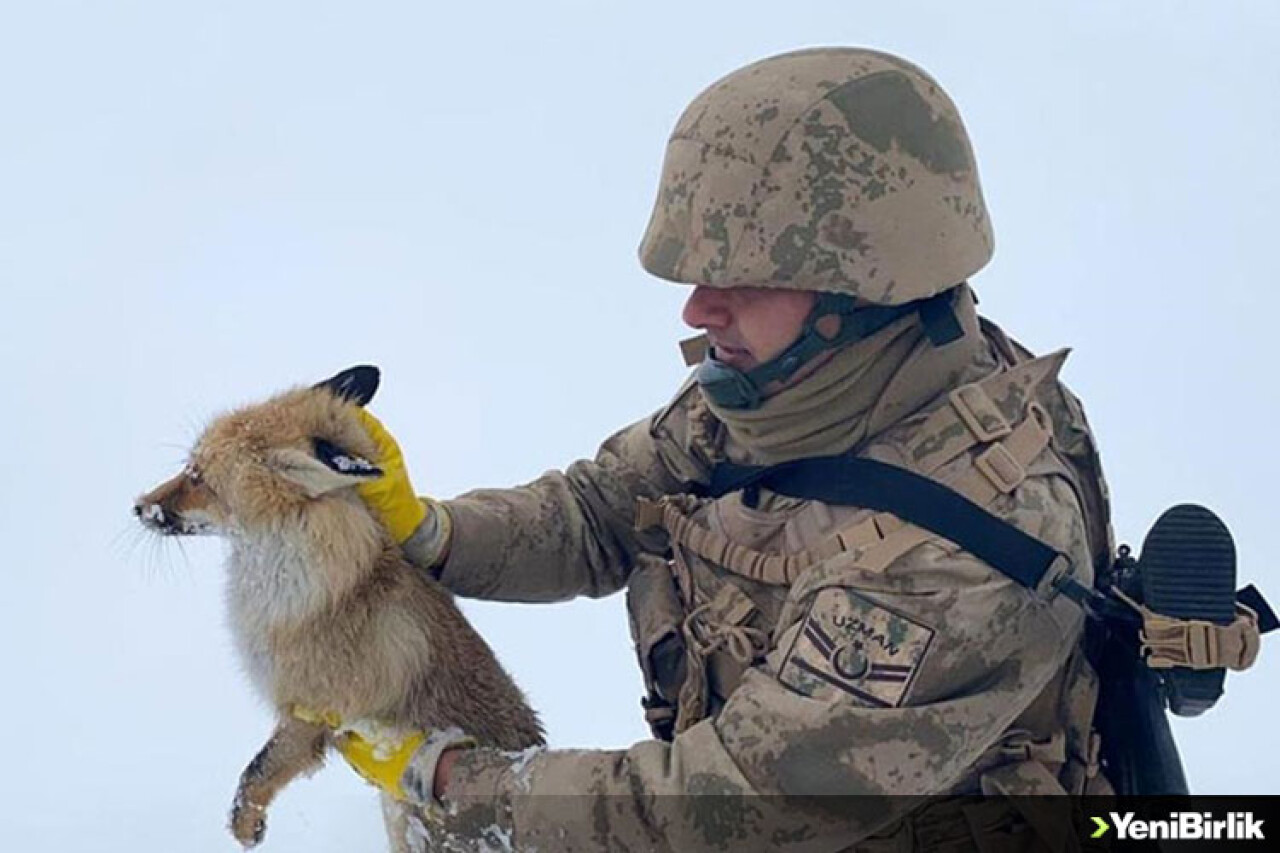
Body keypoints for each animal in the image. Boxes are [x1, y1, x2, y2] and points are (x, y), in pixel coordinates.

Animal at [132, 361, 542, 845]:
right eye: (189, 467)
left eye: (199, 478)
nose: (138, 507)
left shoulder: (310, 712)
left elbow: (259, 769)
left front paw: (245, 822)